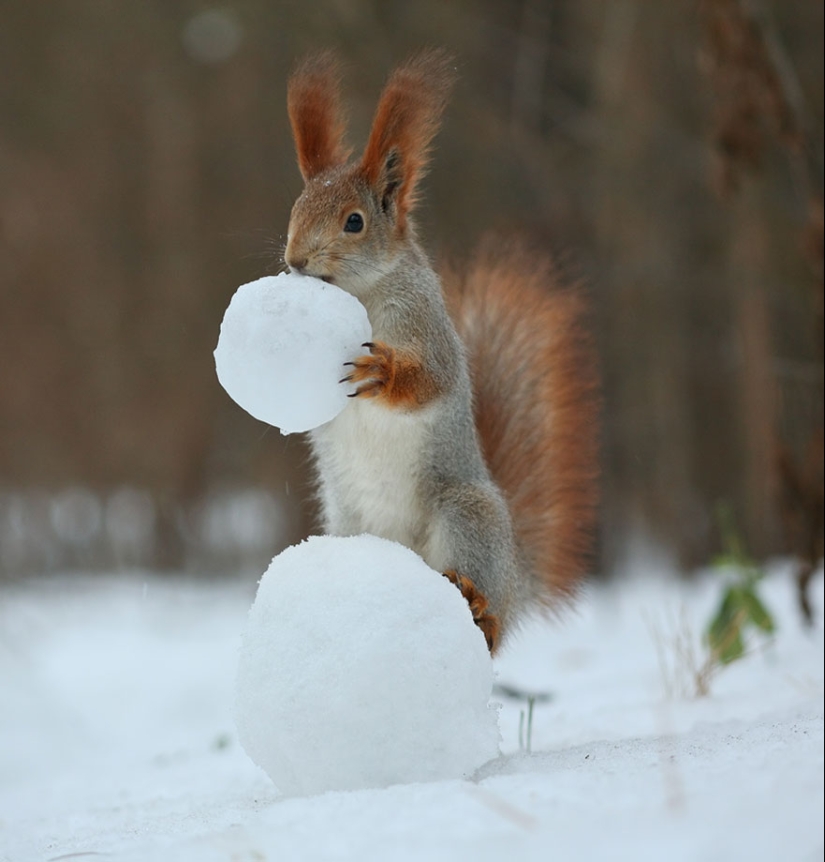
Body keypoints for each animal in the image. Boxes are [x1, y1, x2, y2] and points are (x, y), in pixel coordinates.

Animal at [283, 49, 599, 653]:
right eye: (294, 208)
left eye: (354, 222)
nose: (294, 262)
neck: (363, 293)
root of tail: (515, 577)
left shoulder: (426, 325)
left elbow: (433, 379)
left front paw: (382, 372)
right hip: (348, 523)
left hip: (466, 517)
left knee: (488, 618)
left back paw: (482, 610)